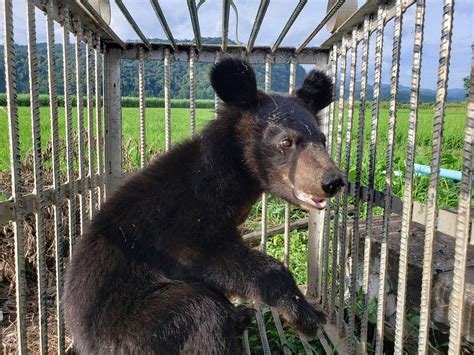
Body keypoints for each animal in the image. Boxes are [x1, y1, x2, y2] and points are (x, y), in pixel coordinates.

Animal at [64, 57, 344, 354]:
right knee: (202, 311)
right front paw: (307, 316)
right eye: (286, 141)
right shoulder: (184, 222)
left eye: (323, 139)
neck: (232, 173)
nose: (333, 181)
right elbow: (217, 257)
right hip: (139, 328)